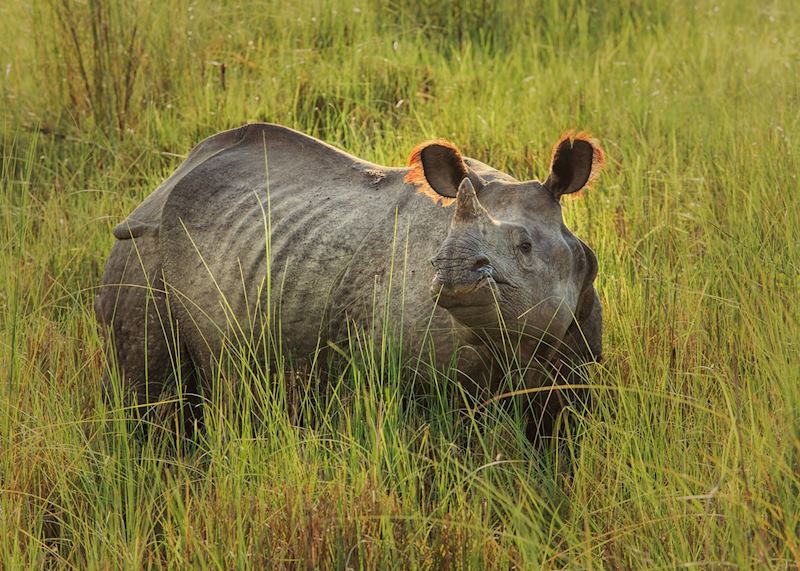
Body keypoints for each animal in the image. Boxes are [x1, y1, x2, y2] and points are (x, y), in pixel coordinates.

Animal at [95, 123, 604, 435]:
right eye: (438, 248)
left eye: (525, 247)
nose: (453, 272)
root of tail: (164, 183)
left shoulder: (576, 362)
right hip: (141, 247)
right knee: (153, 400)